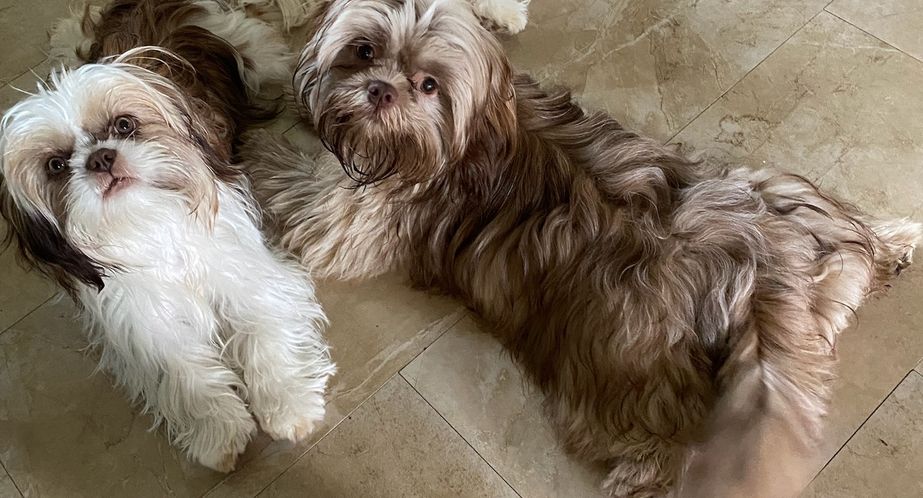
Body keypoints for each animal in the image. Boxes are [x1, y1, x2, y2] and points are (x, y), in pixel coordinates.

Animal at [0, 0, 335, 472]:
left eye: (124, 125)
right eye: (56, 165)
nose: (101, 158)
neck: (151, 220)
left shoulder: (249, 276)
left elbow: (265, 334)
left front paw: (288, 405)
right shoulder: (143, 317)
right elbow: (183, 370)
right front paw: (218, 431)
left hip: (257, 52)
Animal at [241, 0, 920, 495]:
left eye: (428, 85)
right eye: (364, 51)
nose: (379, 90)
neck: (473, 134)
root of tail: (763, 267)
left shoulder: (352, 213)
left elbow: (287, 181)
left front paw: (245, 141)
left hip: (621, 359)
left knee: (659, 438)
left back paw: (643, 477)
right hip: (778, 198)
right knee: (840, 239)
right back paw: (892, 242)